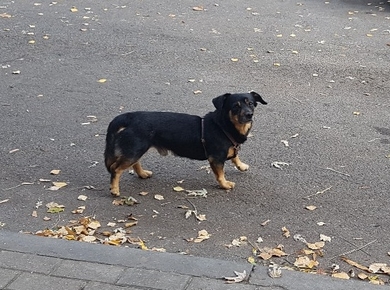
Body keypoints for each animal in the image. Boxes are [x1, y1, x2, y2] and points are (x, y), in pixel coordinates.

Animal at [105, 92, 266, 197]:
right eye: (235, 106)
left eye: (251, 104)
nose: (249, 114)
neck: (223, 126)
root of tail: (130, 117)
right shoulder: (216, 158)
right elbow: (220, 174)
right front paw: (225, 185)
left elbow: (235, 155)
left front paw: (241, 165)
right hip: (135, 150)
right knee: (116, 169)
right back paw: (114, 189)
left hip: (137, 149)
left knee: (134, 163)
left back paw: (142, 174)